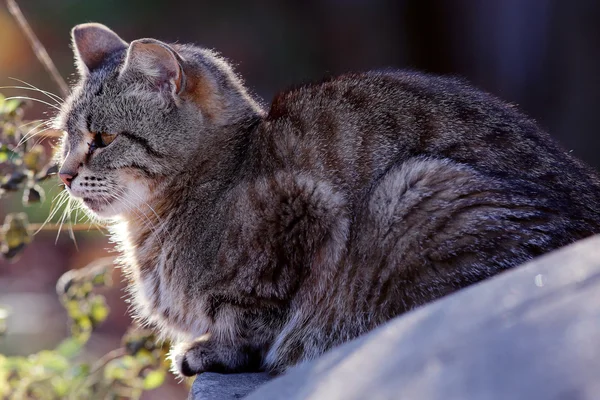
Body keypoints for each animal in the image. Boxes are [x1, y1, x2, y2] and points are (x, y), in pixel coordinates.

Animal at [55, 23, 600, 376]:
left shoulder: (298, 214)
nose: (62, 174)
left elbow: (249, 316)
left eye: (103, 138)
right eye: (66, 135)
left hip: (414, 192)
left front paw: (213, 349)